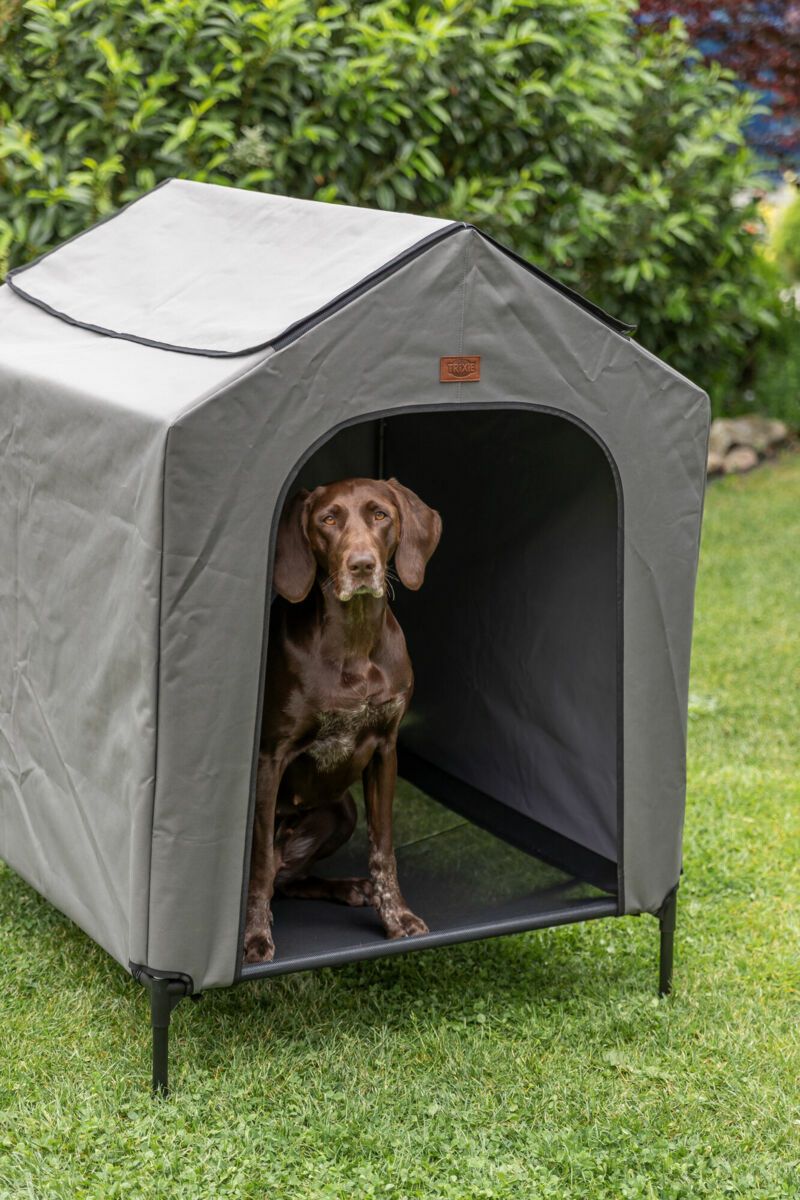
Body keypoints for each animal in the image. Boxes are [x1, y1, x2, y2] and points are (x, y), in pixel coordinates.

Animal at [243, 477, 442, 964]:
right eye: (328, 520)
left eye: (380, 515)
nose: (362, 565)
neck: (355, 641)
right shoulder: (270, 758)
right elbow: (257, 866)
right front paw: (255, 937)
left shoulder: (385, 749)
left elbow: (383, 848)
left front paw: (397, 917)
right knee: (272, 871)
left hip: (343, 809)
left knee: (288, 878)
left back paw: (352, 888)